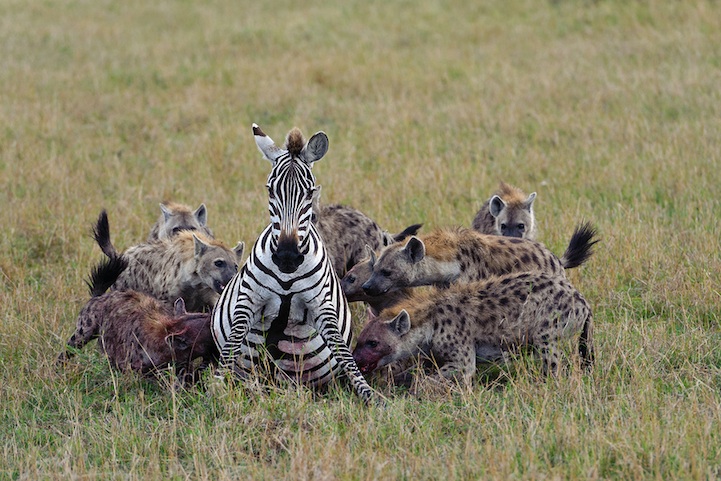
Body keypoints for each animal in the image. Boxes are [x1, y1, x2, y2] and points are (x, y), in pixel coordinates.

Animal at [210, 124, 376, 404]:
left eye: (309, 193)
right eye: (270, 190)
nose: (287, 256)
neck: (287, 279)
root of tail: (273, 383)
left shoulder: (322, 306)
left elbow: (345, 355)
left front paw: (374, 397)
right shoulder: (247, 300)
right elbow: (232, 343)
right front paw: (218, 388)